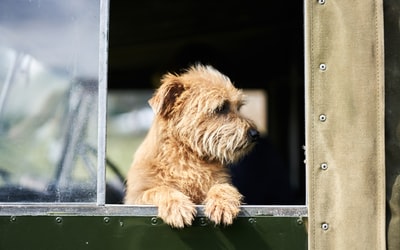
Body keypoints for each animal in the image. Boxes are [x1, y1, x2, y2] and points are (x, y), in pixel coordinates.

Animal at [125, 63, 260, 228]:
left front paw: (222, 204)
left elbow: (223, 187)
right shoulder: (136, 197)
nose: (255, 134)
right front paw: (177, 206)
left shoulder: (220, 181)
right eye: (221, 108)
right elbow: (159, 189)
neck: (187, 156)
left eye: (238, 107)